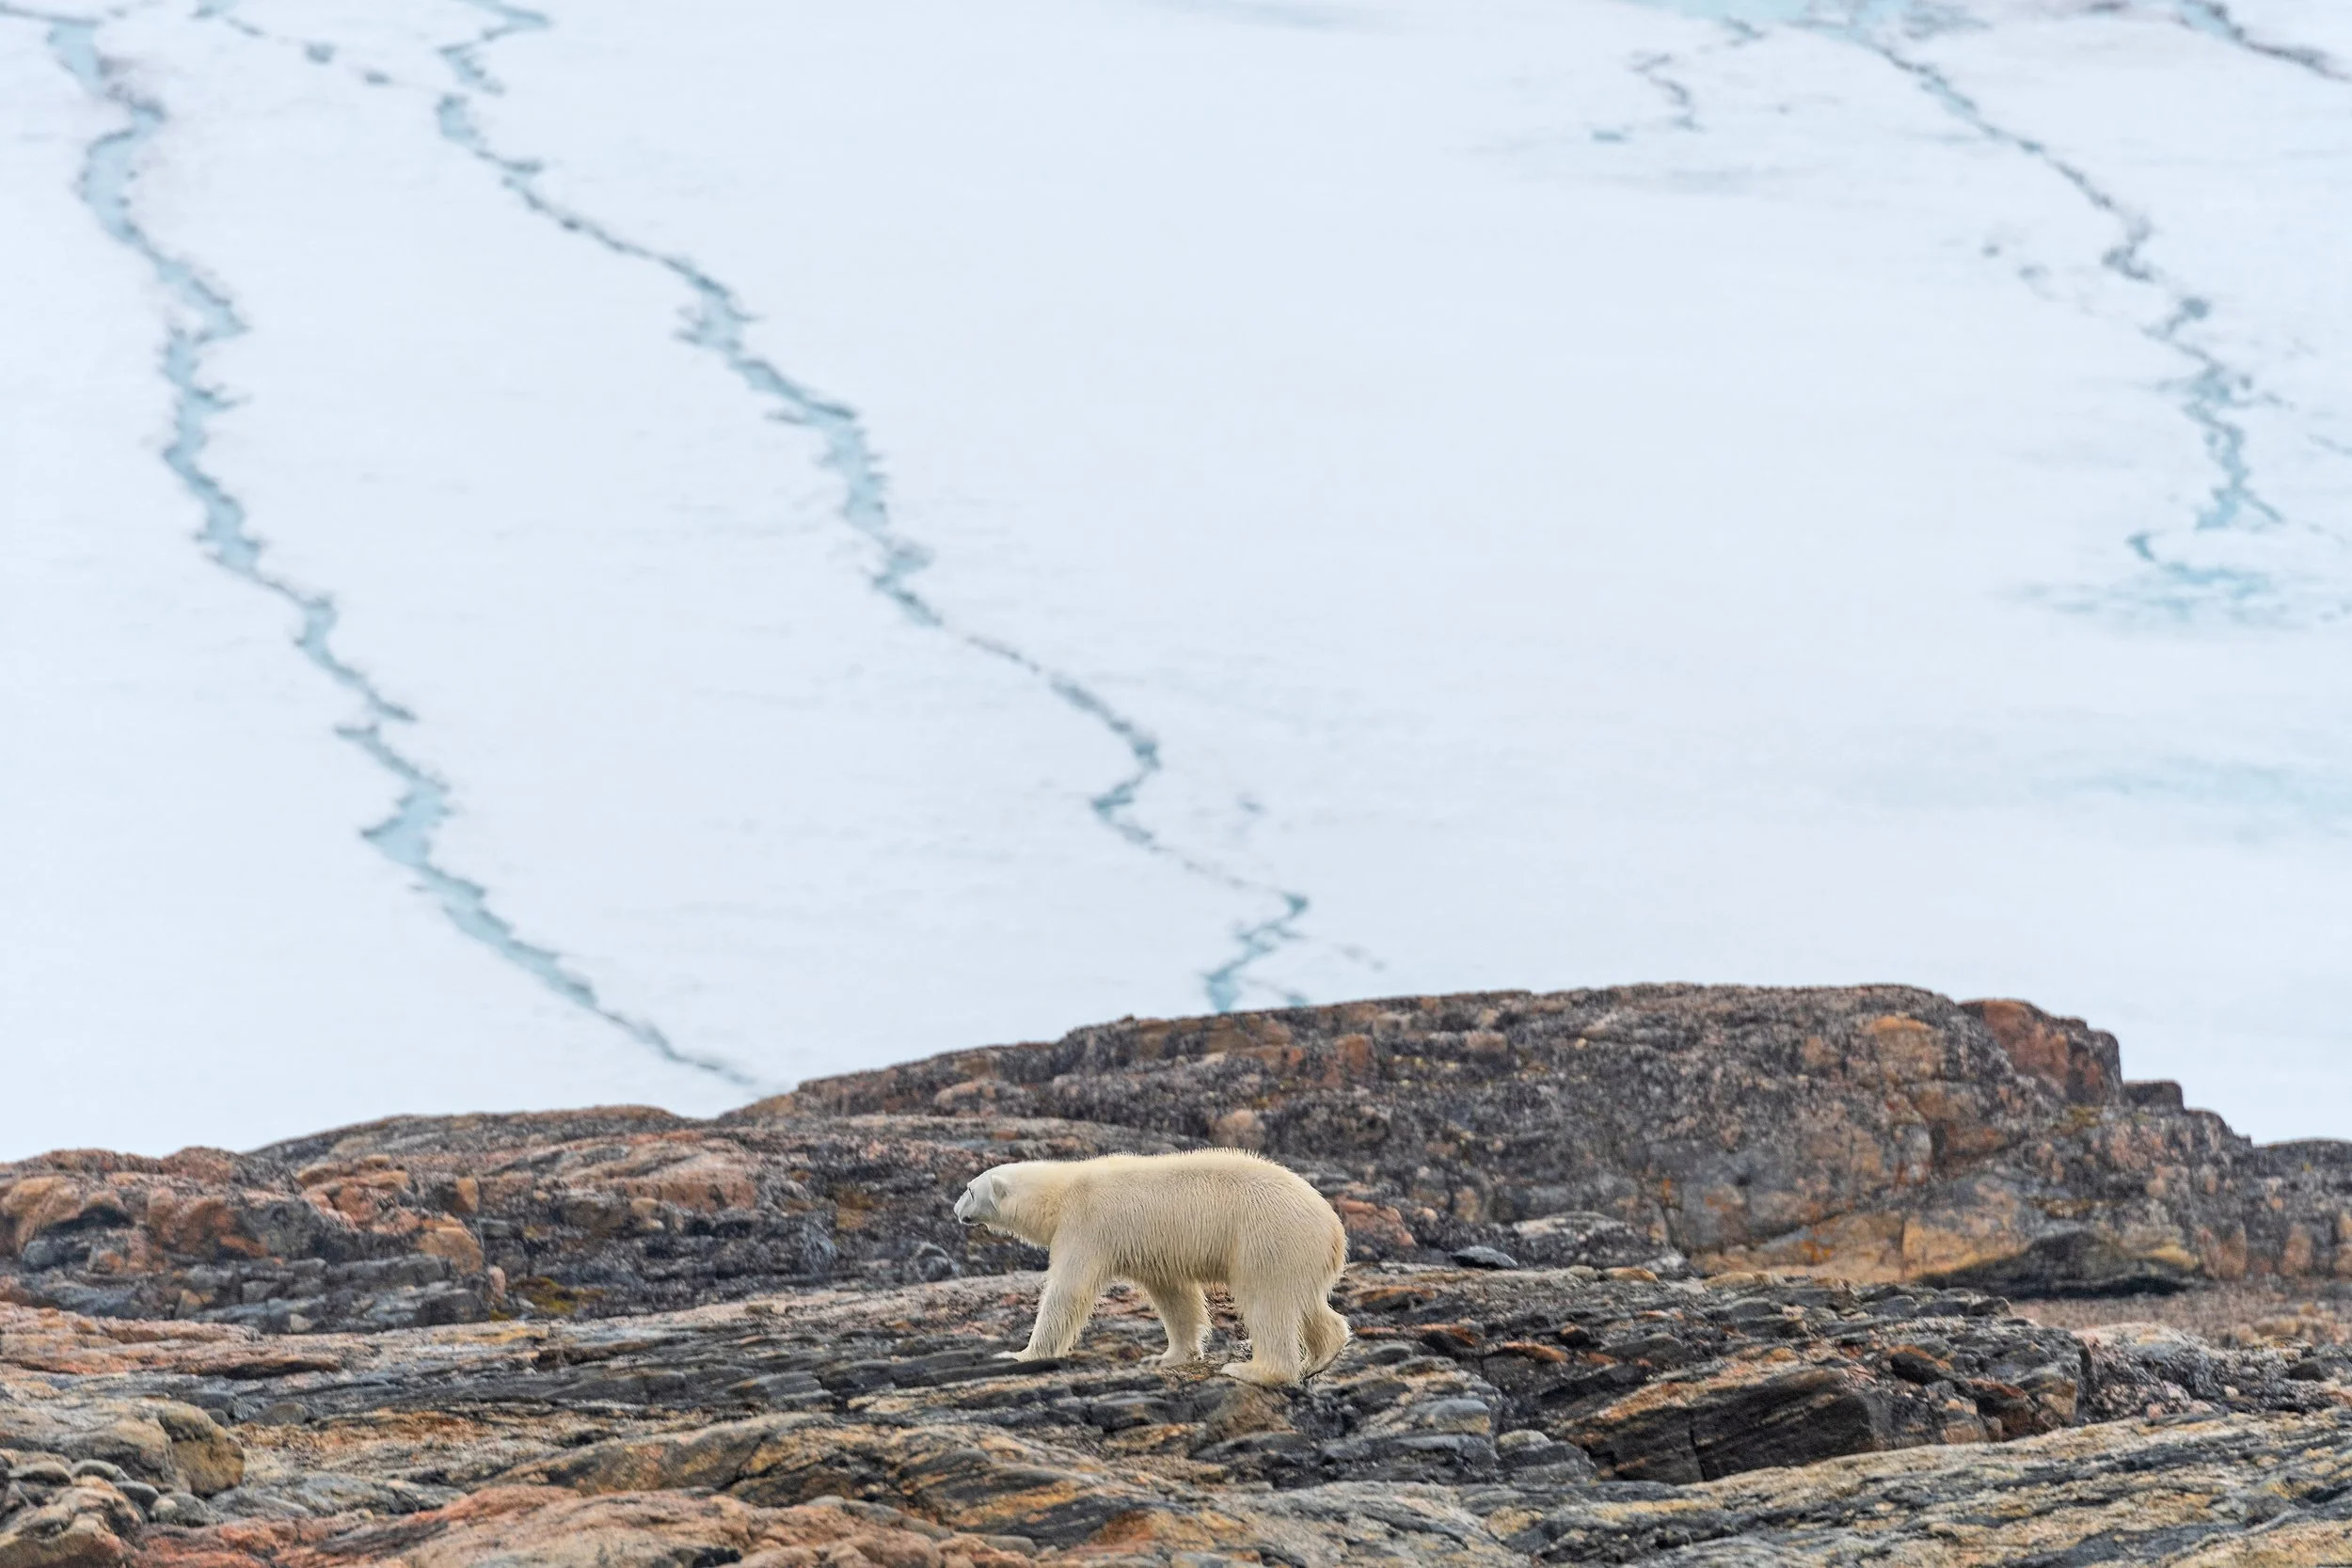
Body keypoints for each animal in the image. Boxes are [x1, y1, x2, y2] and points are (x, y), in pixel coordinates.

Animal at [953, 1148, 1351, 1386]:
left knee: (1267, 1301)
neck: (1061, 1191)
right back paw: (1321, 1357)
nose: (956, 1210)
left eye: (970, 1190)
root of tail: (1333, 1226)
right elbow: (1175, 1296)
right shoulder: (1150, 1248)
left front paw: (1022, 1353)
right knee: (1305, 1301)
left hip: (1266, 1236)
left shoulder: (1086, 1225)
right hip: (1298, 1250)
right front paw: (1168, 1356)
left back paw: (1254, 1370)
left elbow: (1069, 1290)